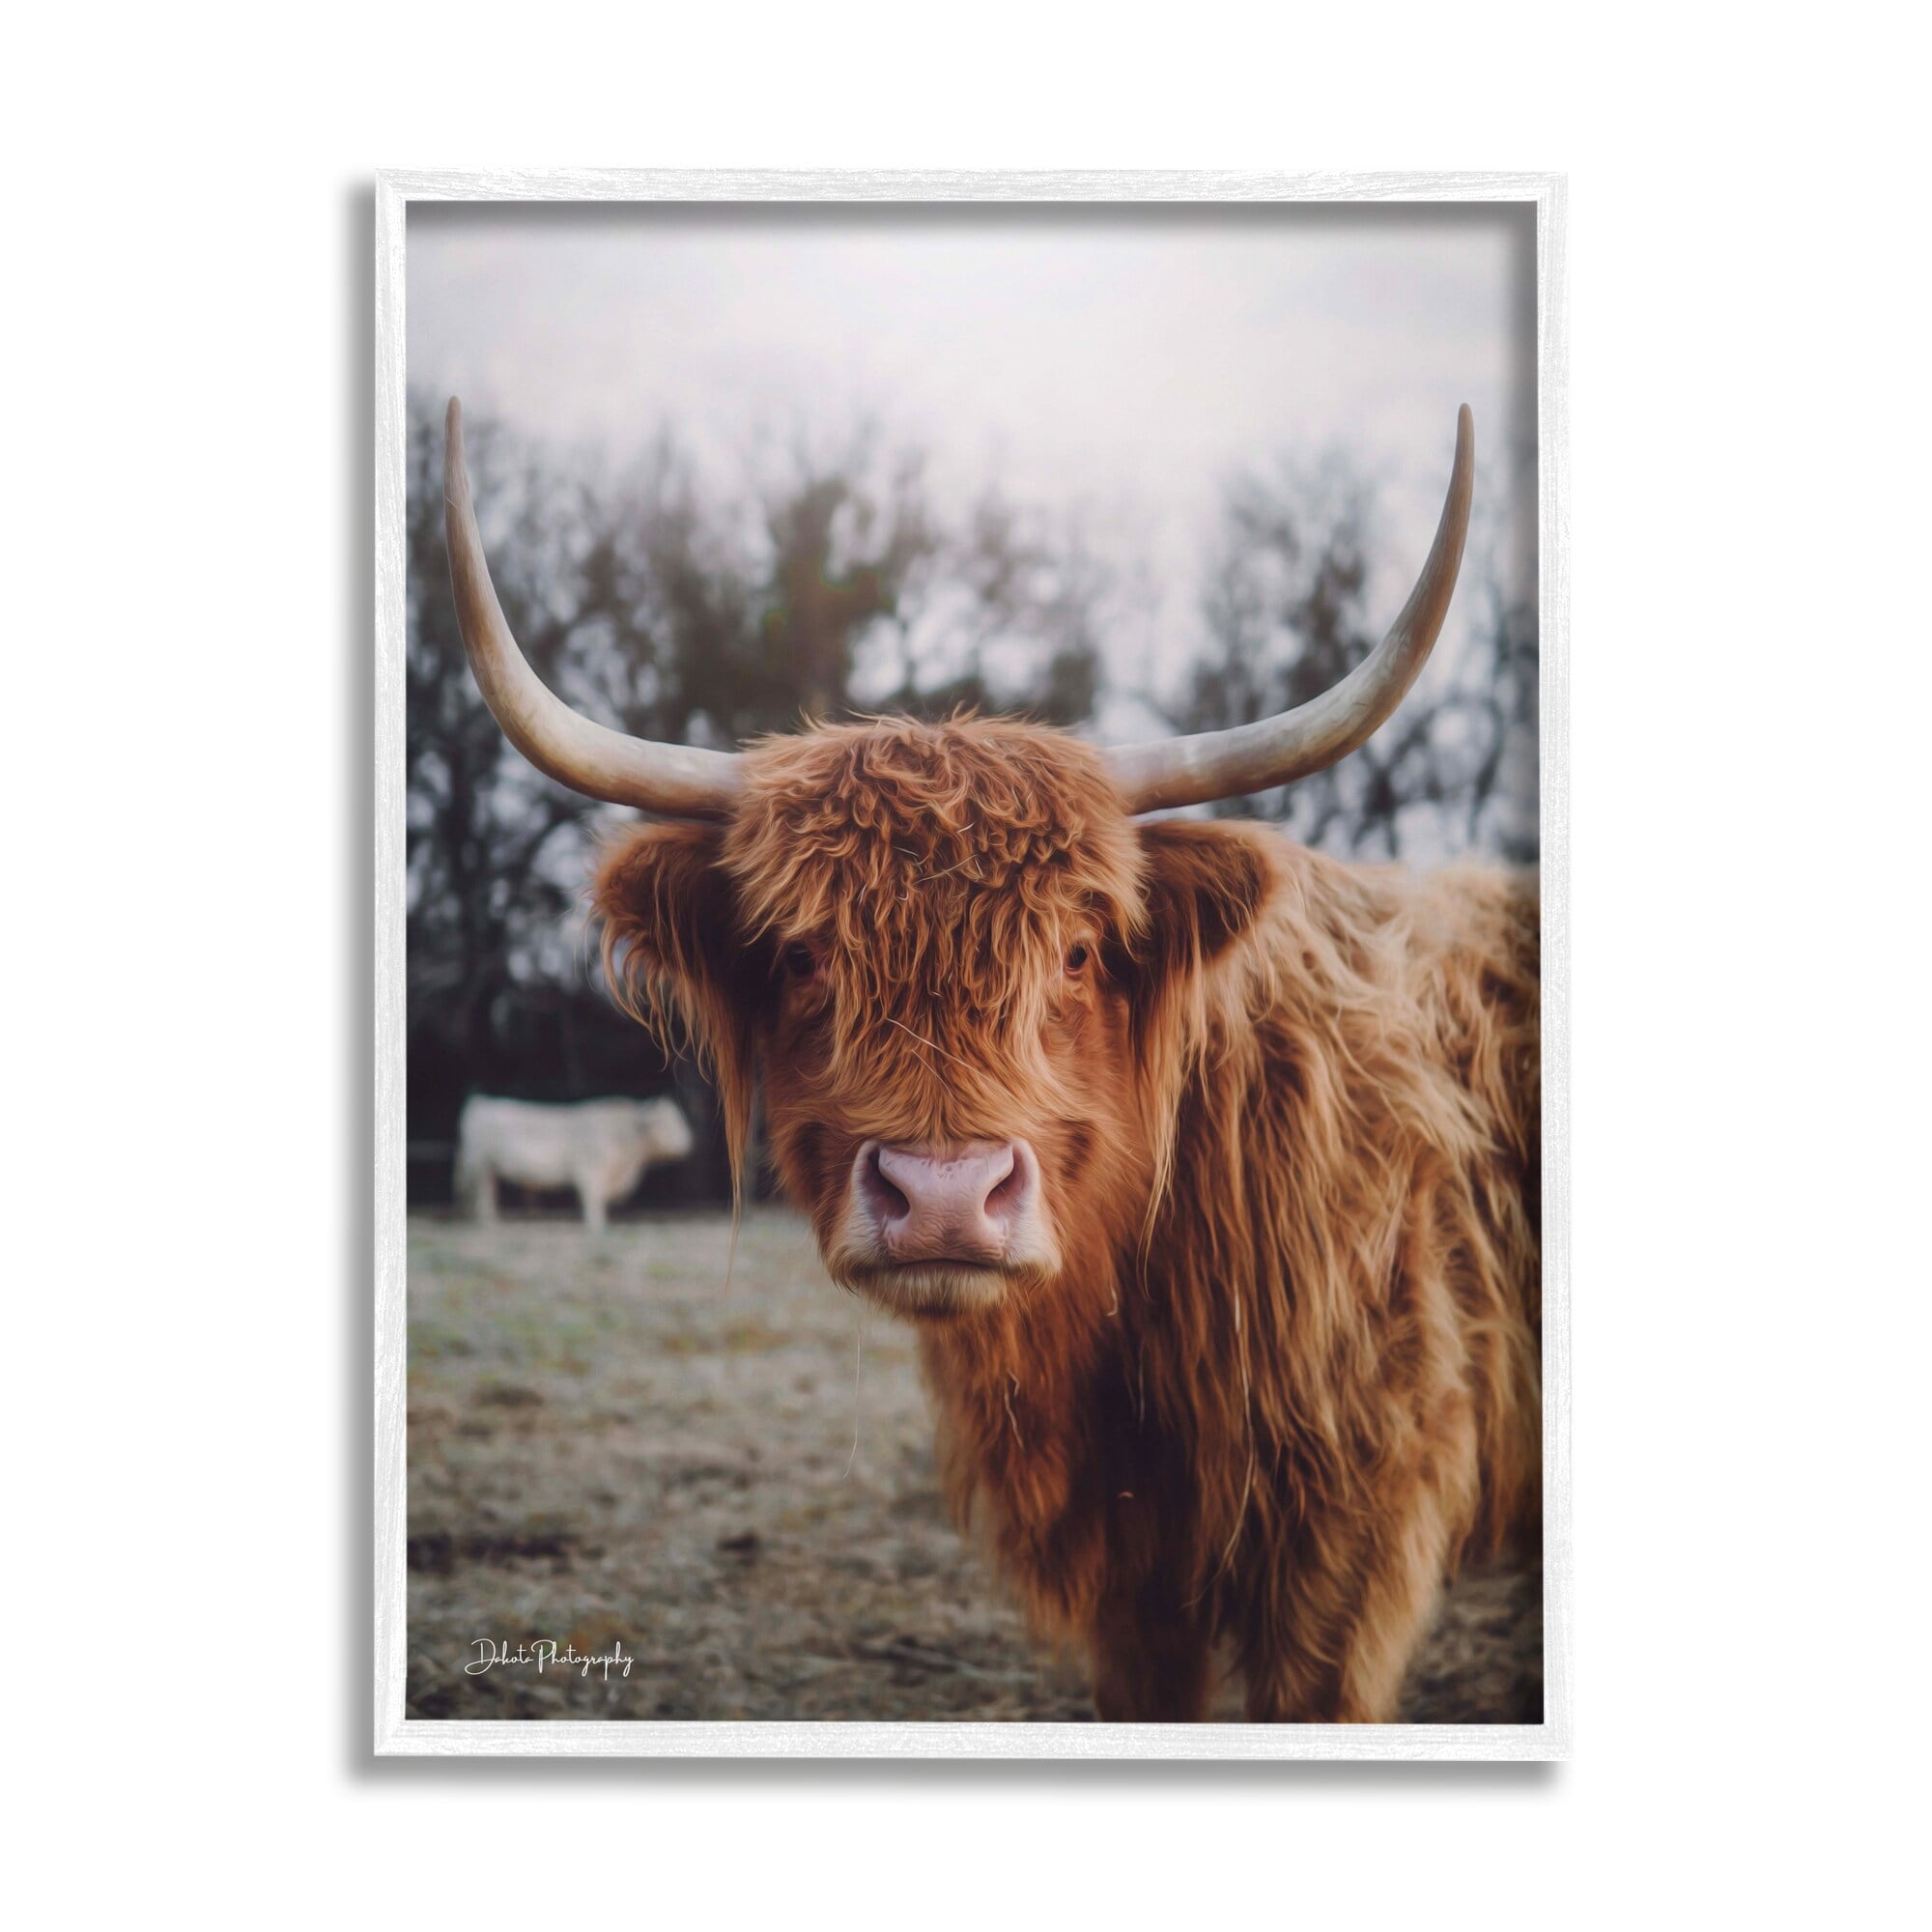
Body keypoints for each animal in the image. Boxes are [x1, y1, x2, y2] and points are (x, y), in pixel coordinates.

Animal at [454, 1094, 695, 1233]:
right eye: (666, 1123)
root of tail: (480, 1103)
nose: (689, 1142)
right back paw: (489, 1224)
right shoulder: (589, 1171)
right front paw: (596, 1228)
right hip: (480, 1165)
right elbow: (593, 1202)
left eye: (679, 1118)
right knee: (483, 1196)